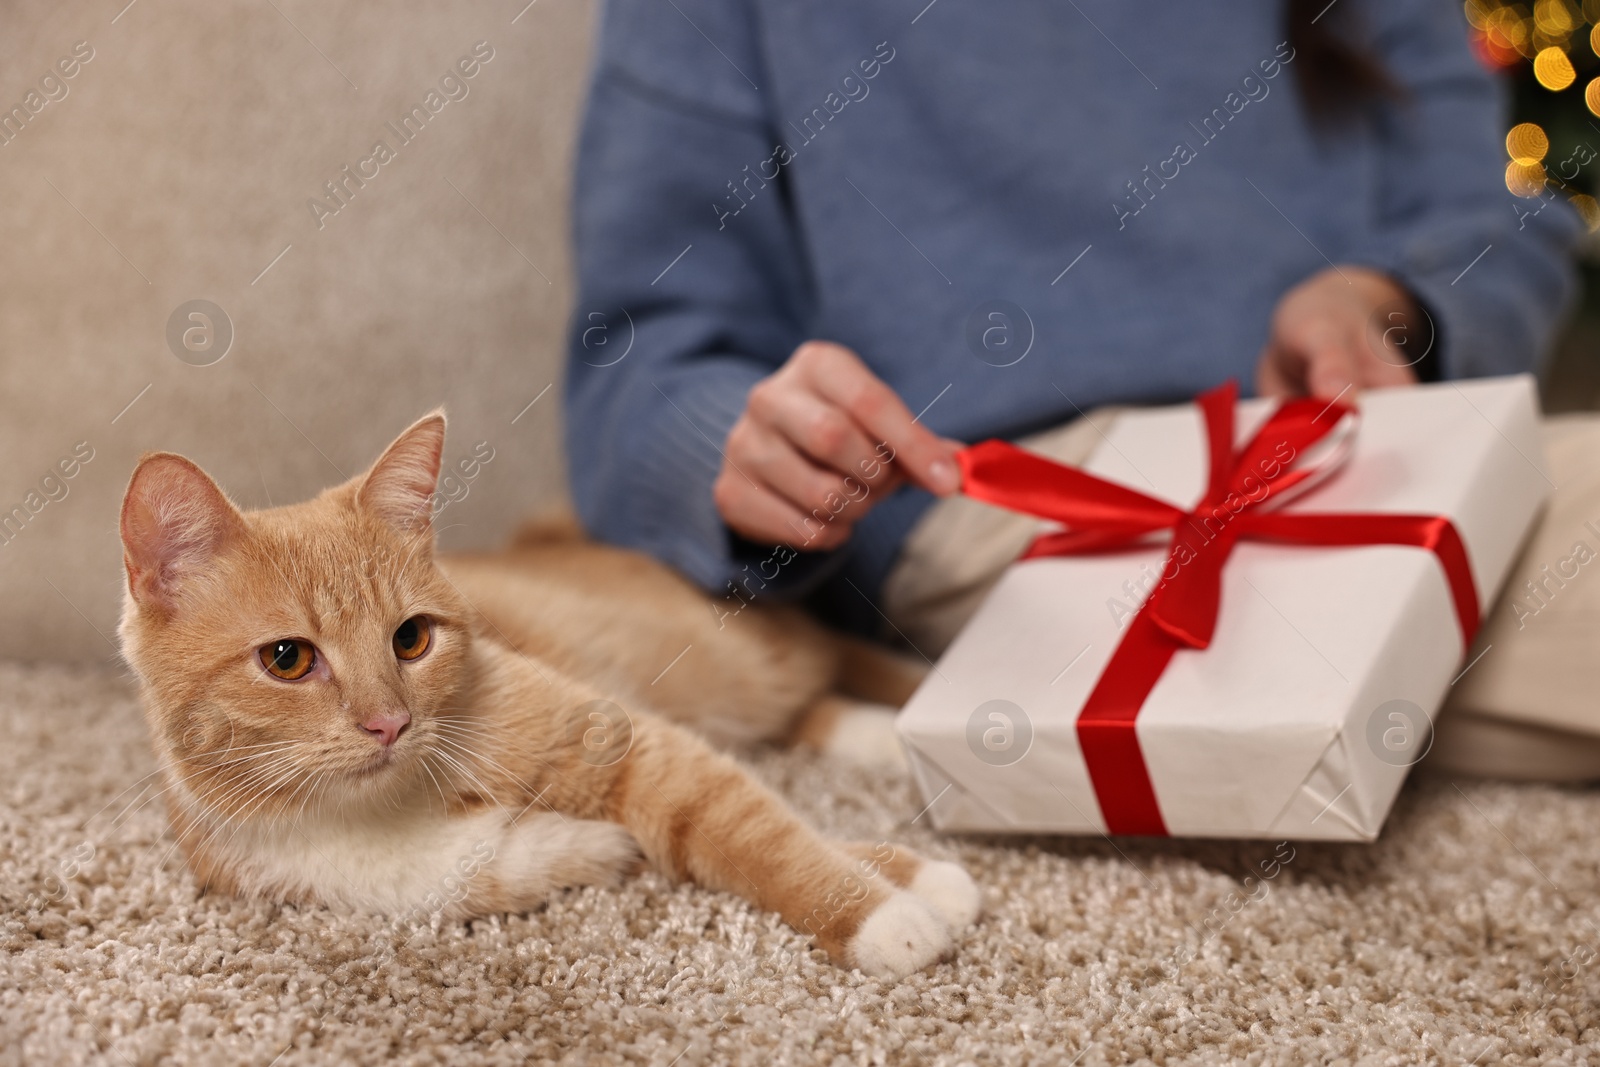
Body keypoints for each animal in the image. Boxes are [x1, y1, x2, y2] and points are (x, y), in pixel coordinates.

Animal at [116, 412, 972, 979]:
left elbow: (759, 832)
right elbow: (501, 868)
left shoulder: (636, 745)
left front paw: (888, 904)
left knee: (852, 662)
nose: (390, 722)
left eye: (411, 638)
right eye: (288, 658)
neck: (385, 806)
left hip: (757, 651)